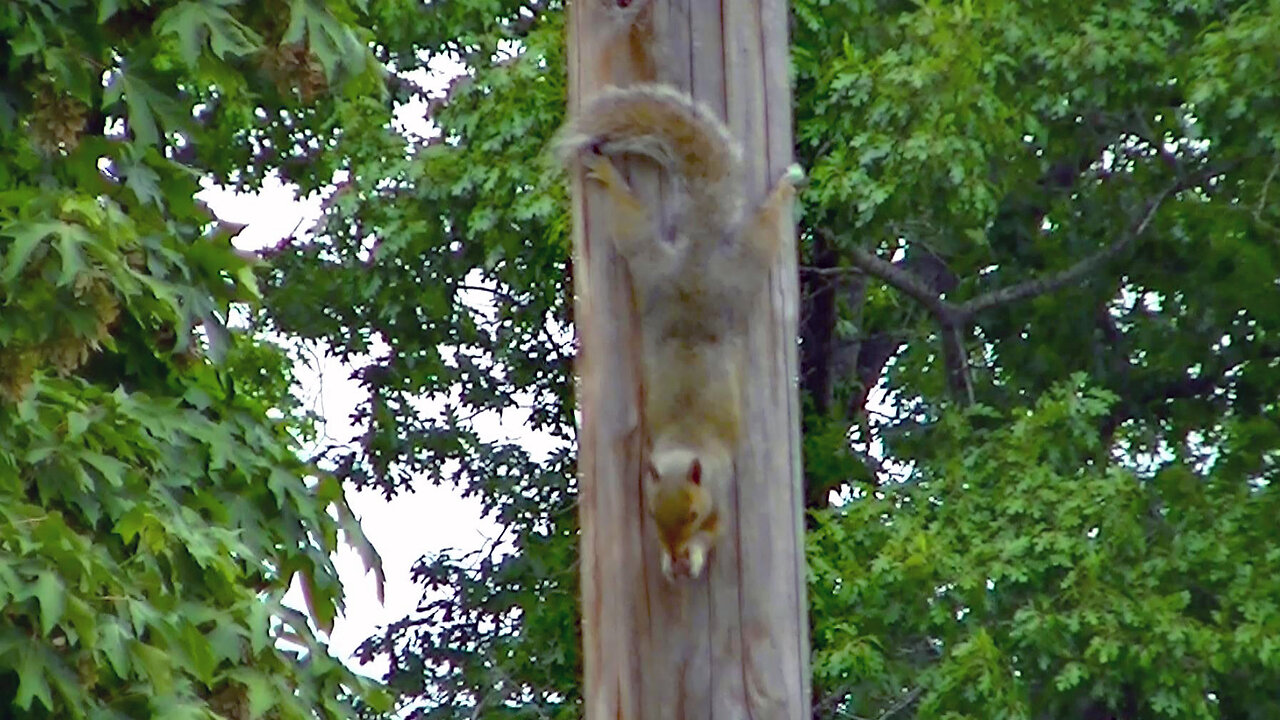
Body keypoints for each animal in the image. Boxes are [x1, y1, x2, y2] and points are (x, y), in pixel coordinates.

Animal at [563, 83, 798, 576]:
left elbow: (717, 533)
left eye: (691, 513)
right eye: (652, 513)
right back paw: (608, 175)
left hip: (733, 271)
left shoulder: (722, 493)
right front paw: (668, 559)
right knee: (632, 222)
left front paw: (691, 556)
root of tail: (696, 258)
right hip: (651, 263)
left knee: (762, 234)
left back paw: (785, 189)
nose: (672, 548)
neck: (687, 442)